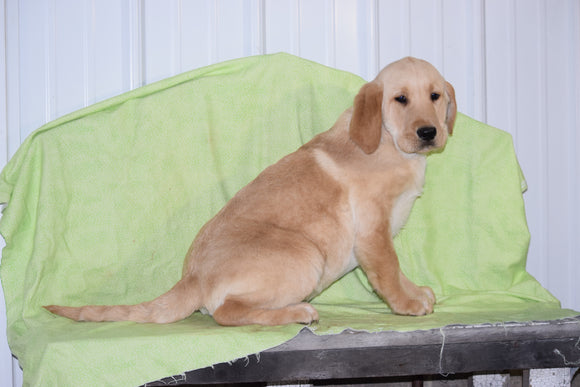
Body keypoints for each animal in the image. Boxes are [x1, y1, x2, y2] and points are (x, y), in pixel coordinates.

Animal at [45, 56, 456, 326]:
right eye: (400, 99)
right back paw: (297, 312)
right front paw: (406, 304)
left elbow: (397, 270)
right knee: (228, 313)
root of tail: (192, 279)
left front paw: (416, 292)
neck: (388, 143)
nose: (428, 132)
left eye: (435, 96)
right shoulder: (372, 231)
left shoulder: (384, 231)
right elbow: (388, 270)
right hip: (305, 255)